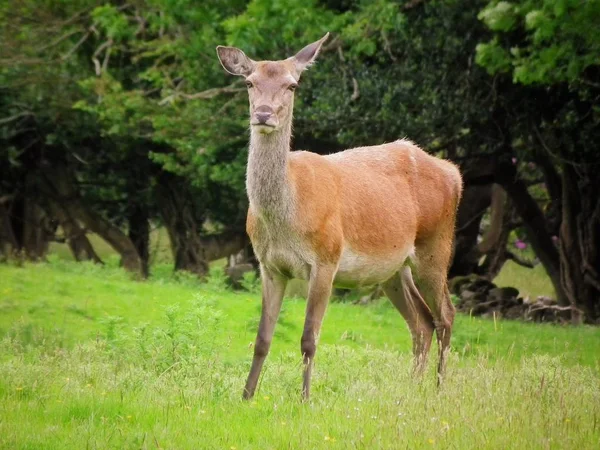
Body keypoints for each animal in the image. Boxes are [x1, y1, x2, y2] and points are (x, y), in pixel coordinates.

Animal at [217, 34, 464, 400]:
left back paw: (437, 389)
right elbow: (262, 338)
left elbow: (309, 338)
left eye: (292, 85)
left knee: (446, 313)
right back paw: (411, 389)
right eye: (249, 82)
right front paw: (246, 396)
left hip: (436, 246)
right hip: (393, 268)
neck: (285, 216)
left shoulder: (326, 259)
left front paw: (305, 399)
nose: (263, 114)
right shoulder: (269, 265)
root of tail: (454, 173)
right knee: (421, 321)